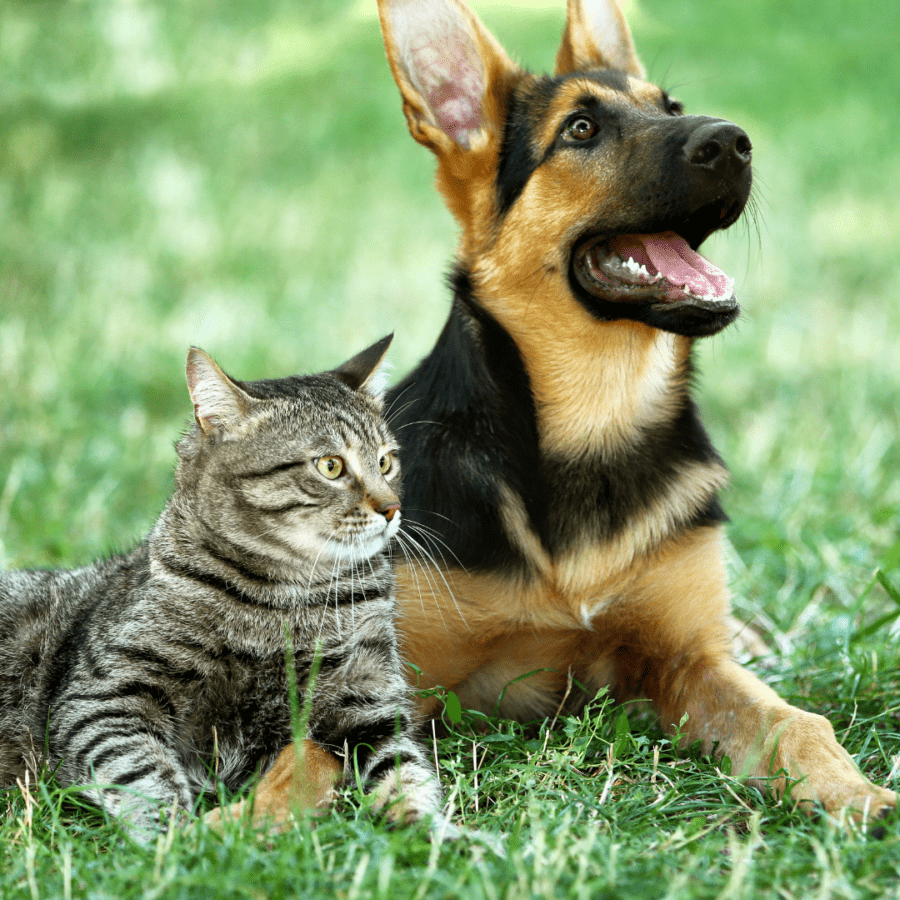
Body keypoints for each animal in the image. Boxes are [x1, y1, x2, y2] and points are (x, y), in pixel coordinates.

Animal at [0, 336, 440, 836]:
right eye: (330, 466)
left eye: (386, 462)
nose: (392, 508)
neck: (285, 598)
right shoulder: (103, 695)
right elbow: (139, 770)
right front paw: (174, 836)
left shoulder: (365, 696)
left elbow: (403, 768)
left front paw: (430, 832)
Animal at [214, 0, 896, 828]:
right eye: (580, 129)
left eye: (670, 106)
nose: (734, 140)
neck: (594, 419)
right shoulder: (383, 671)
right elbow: (308, 750)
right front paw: (229, 826)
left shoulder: (686, 657)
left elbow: (795, 723)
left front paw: (857, 792)